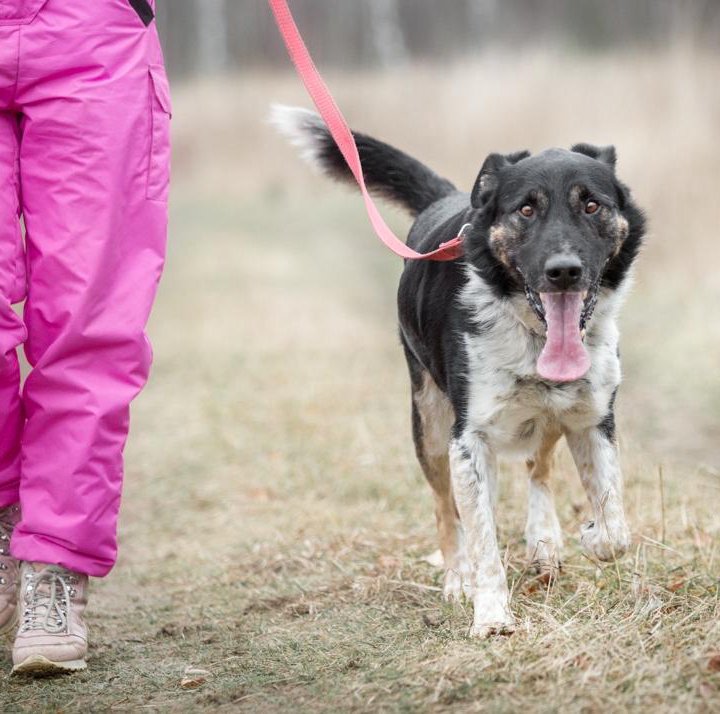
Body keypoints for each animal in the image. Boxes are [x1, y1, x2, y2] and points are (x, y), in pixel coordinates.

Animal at [274, 105, 648, 636]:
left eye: (592, 205)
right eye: (526, 210)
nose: (563, 271)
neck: (532, 335)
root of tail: (448, 196)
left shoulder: (593, 419)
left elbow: (614, 524)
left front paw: (589, 533)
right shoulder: (468, 439)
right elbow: (482, 537)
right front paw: (490, 615)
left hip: (549, 418)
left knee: (539, 467)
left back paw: (543, 543)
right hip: (429, 427)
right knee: (446, 510)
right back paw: (456, 579)